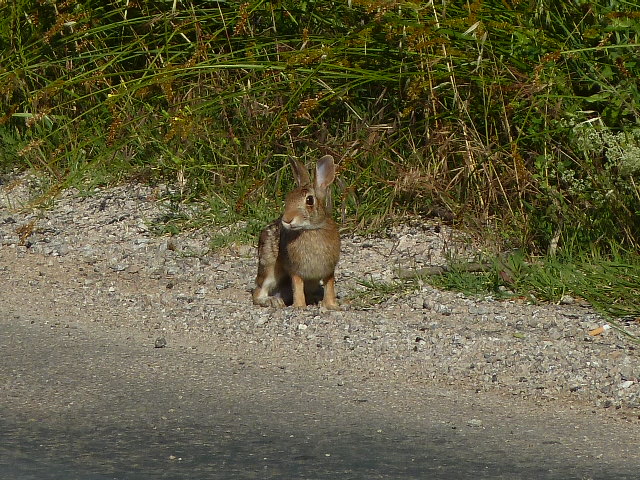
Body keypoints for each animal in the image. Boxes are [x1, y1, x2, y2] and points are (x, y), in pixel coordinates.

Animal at [251, 156, 340, 310]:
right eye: (288, 199)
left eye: (309, 200)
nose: (287, 219)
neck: (311, 229)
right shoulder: (296, 270)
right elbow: (297, 287)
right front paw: (299, 306)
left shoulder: (329, 270)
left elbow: (329, 287)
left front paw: (332, 305)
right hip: (269, 267)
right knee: (258, 292)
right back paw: (273, 301)